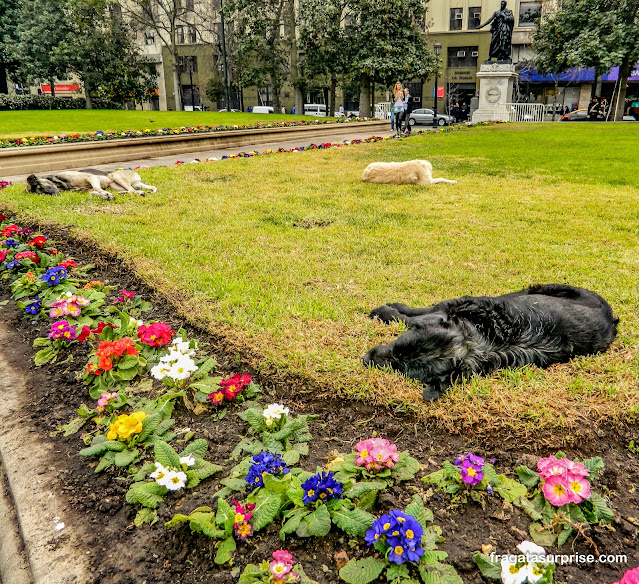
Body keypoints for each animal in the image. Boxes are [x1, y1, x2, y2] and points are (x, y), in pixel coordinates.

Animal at [364, 284, 620, 402]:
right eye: (398, 346)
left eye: (399, 366)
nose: (367, 359)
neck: (485, 340)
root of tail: (612, 319)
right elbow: (413, 313)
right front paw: (388, 309)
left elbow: (408, 315)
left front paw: (385, 311)